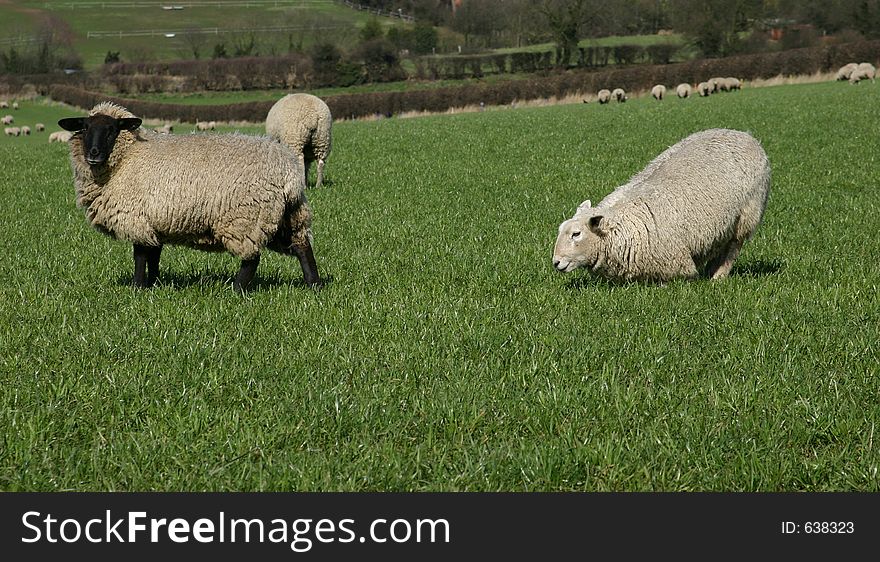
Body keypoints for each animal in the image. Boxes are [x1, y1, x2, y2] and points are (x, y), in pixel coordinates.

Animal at [58, 101, 320, 290]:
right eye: (85, 128)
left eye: (112, 130)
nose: (93, 154)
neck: (127, 157)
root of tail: (289, 172)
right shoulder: (155, 221)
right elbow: (153, 255)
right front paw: (154, 283)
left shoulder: (136, 218)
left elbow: (140, 256)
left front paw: (137, 287)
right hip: (289, 213)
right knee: (302, 246)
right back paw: (313, 285)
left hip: (246, 217)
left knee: (252, 258)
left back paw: (236, 289)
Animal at [556, 129, 768, 282]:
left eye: (576, 234)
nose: (556, 262)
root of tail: (745, 135)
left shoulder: (673, 261)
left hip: (746, 214)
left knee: (733, 246)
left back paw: (718, 276)